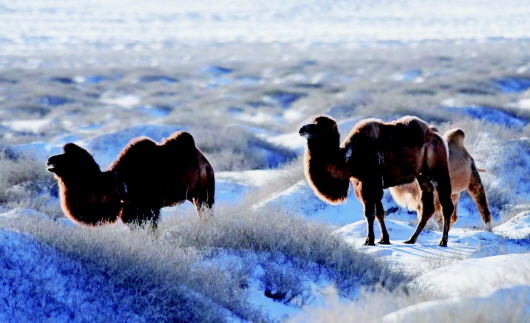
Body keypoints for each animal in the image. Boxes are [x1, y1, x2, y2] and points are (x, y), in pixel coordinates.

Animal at [296, 115, 454, 247]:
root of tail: (437, 136)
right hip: (422, 175)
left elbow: (370, 213)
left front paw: (369, 241)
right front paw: (384, 239)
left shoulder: (370, 182)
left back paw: (443, 242)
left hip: (438, 171)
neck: (348, 159)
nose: (302, 129)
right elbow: (380, 212)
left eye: (319, 125)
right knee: (427, 206)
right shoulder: (365, 184)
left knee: (446, 205)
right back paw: (411, 239)